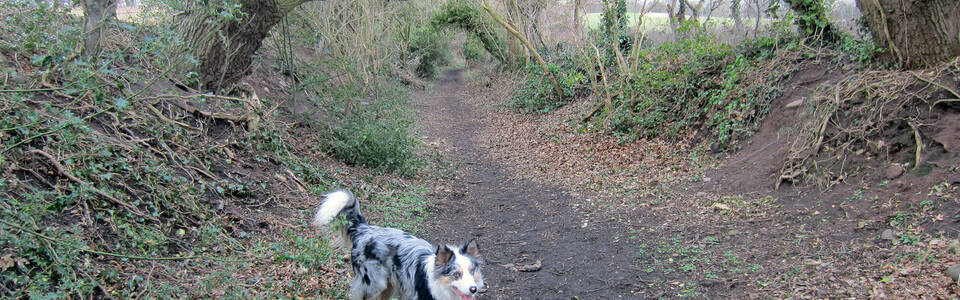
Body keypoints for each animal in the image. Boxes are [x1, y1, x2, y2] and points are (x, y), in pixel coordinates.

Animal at [312, 189, 484, 298]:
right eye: (456, 274)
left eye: (472, 271)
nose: (473, 289)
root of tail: (364, 229)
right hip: (373, 284)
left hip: (389, 285)